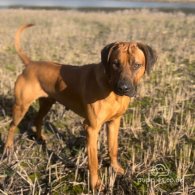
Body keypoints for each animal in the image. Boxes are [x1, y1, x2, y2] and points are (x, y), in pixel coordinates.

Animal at [3, 23, 157, 190]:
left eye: (137, 65)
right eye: (115, 64)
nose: (123, 88)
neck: (110, 88)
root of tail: (31, 64)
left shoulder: (114, 122)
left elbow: (113, 148)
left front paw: (116, 168)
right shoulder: (91, 128)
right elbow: (93, 161)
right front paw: (95, 184)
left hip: (47, 102)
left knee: (38, 119)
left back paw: (41, 138)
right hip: (21, 106)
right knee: (12, 126)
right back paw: (8, 149)